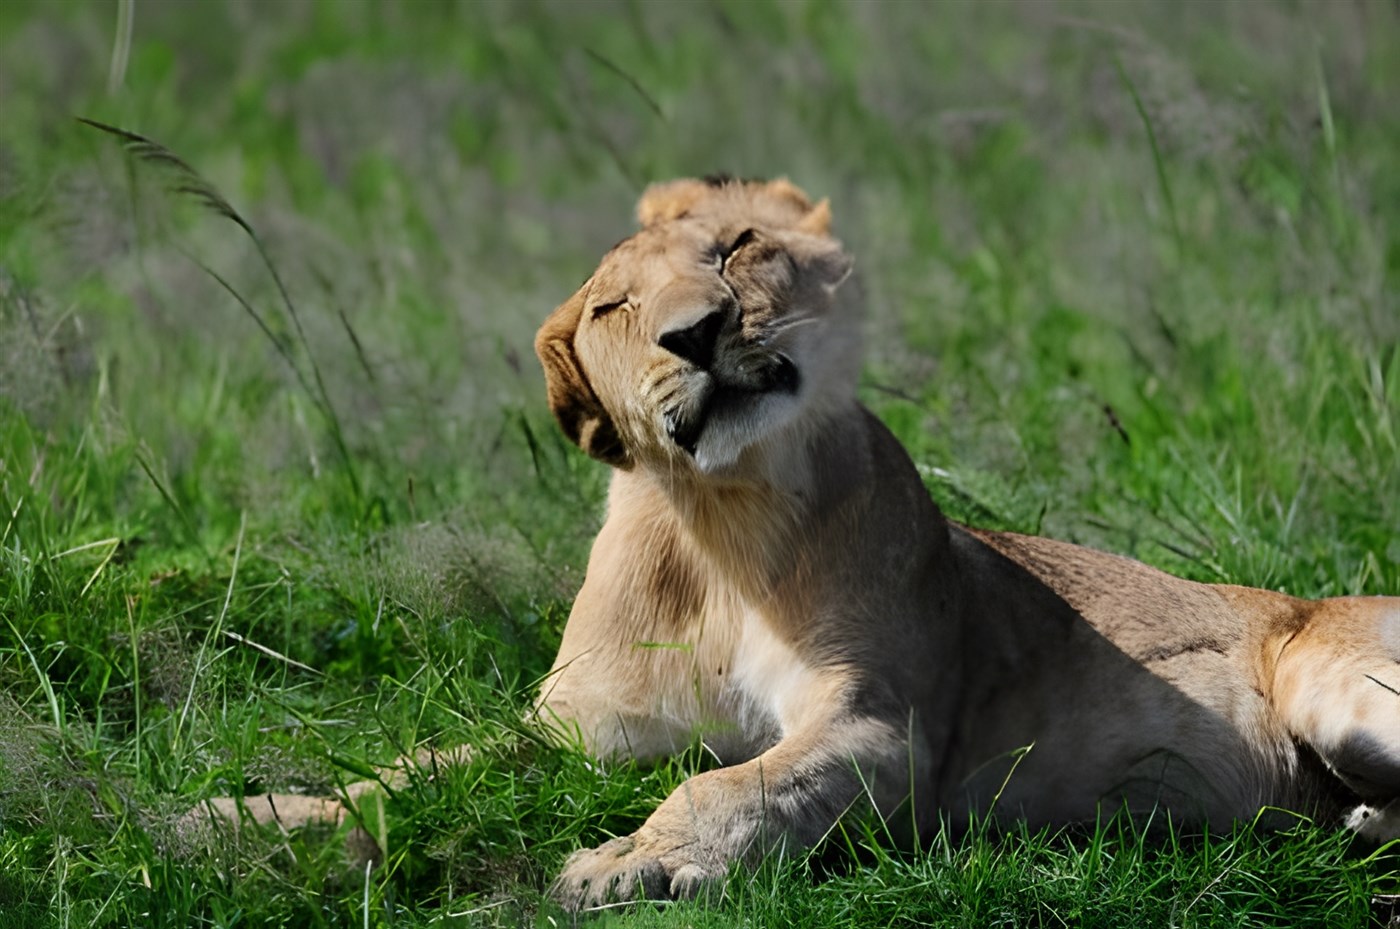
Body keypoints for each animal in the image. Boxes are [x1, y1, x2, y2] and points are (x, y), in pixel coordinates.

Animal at [533, 176, 1400, 909]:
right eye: (614, 308)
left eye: (737, 245)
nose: (696, 331)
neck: (725, 517)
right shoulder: (573, 728)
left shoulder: (886, 728)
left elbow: (728, 784)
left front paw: (625, 860)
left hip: (1325, 678)